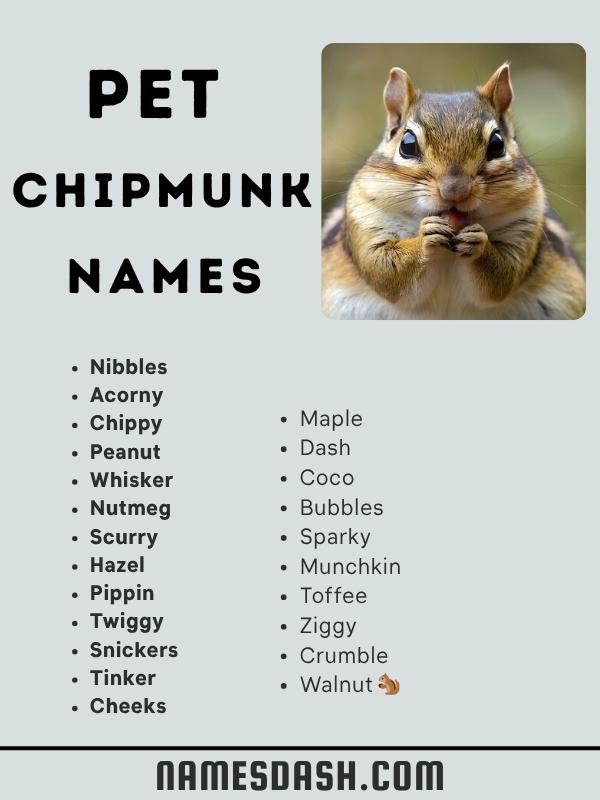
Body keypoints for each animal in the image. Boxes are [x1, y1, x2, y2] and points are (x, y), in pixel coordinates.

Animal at [322, 64, 585, 320]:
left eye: (497, 144)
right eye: (407, 145)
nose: (455, 191)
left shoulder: (525, 225)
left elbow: (503, 276)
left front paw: (477, 242)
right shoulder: (366, 218)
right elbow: (386, 271)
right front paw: (426, 237)